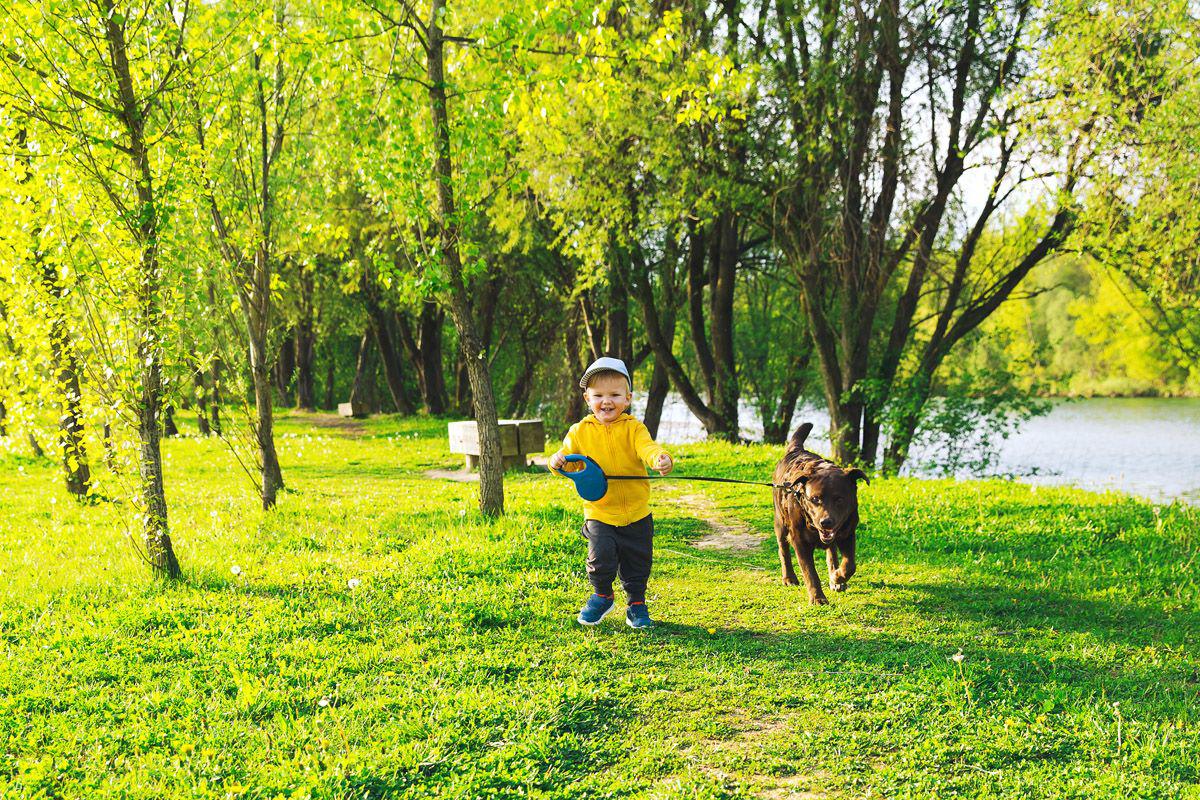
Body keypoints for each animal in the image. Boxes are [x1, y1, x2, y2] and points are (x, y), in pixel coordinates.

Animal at [772, 424, 868, 599]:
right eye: (815, 499)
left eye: (839, 499)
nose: (826, 522)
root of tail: (795, 450)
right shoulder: (799, 540)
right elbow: (810, 572)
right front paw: (818, 598)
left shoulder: (848, 533)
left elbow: (849, 564)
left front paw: (837, 577)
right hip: (780, 522)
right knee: (783, 549)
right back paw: (789, 577)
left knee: (831, 552)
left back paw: (835, 577)